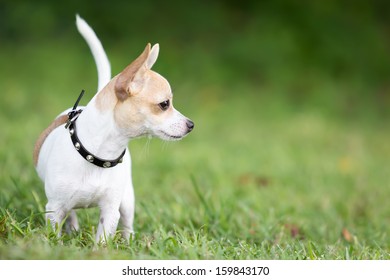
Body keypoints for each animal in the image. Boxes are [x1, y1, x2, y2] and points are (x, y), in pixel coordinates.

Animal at [33, 15, 193, 243]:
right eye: (164, 104)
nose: (191, 124)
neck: (96, 154)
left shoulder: (110, 211)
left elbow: (102, 240)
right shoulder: (54, 209)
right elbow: (55, 232)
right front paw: (55, 245)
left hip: (127, 200)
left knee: (127, 223)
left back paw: (129, 241)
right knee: (72, 214)